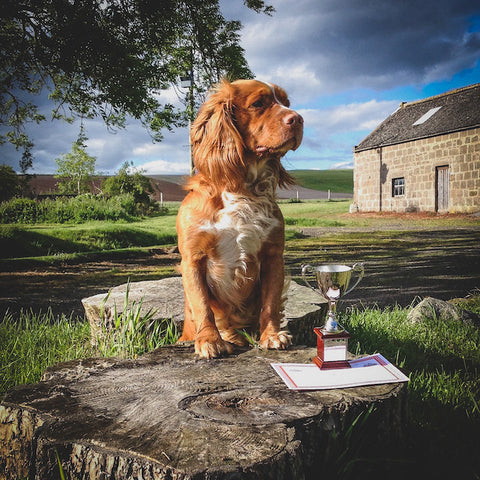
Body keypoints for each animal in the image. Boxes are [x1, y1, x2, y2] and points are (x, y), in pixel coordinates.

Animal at [176, 78, 304, 356]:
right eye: (258, 104)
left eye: (286, 102)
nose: (298, 119)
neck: (241, 188)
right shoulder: (193, 258)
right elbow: (202, 305)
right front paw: (210, 340)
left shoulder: (273, 255)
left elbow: (270, 303)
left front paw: (272, 335)